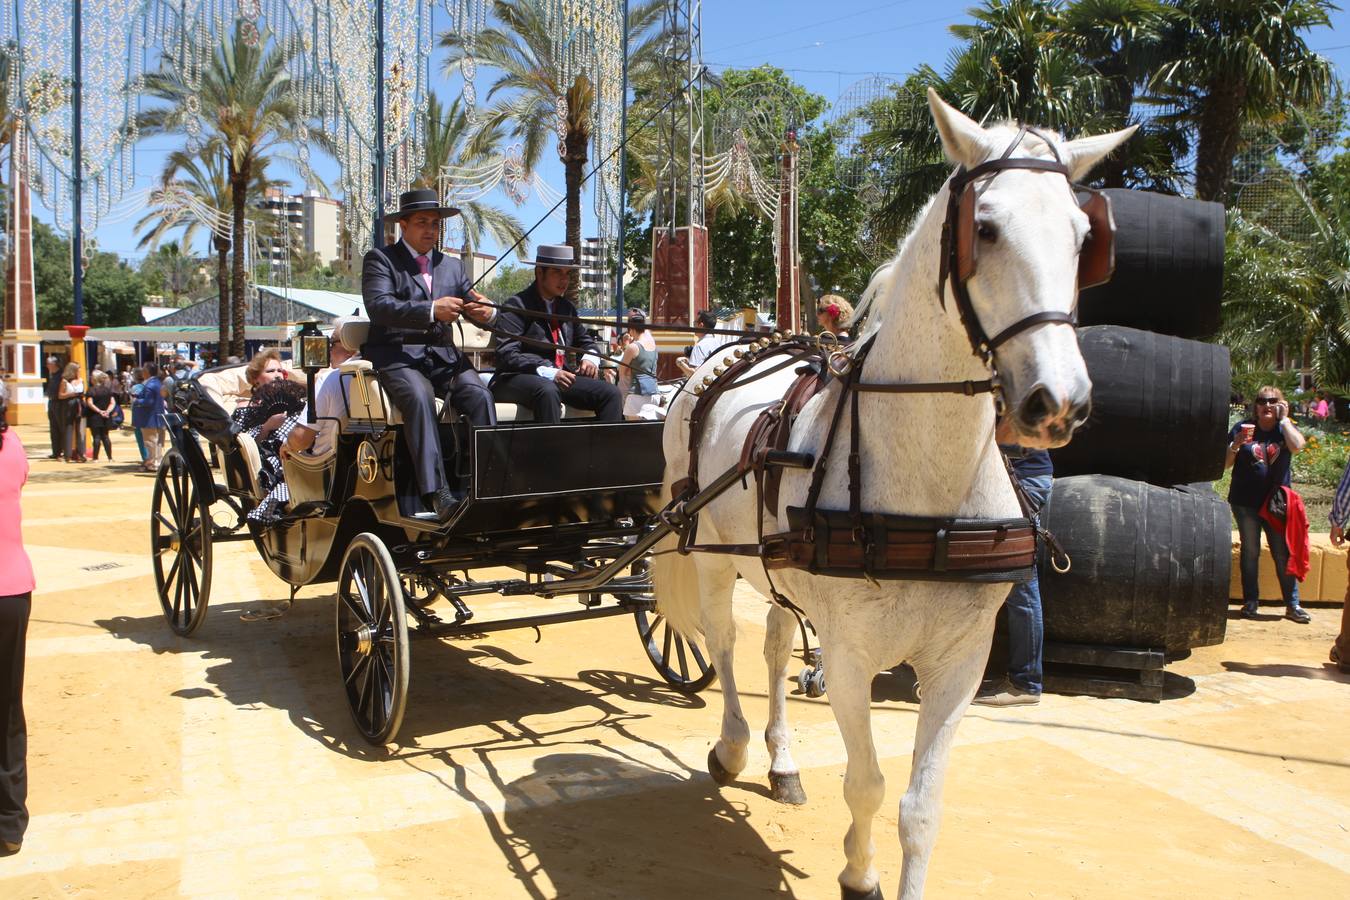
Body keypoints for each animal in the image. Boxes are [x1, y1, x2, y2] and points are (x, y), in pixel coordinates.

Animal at [653, 93, 1139, 900]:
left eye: (1082, 238)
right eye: (985, 228)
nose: (1058, 402)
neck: (928, 493)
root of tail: (720, 360)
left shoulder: (961, 663)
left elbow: (920, 807)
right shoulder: (852, 659)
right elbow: (867, 784)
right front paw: (859, 871)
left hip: (778, 571)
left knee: (774, 643)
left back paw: (782, 761)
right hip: (716, 556)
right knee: (722, 643)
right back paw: (733, 747)